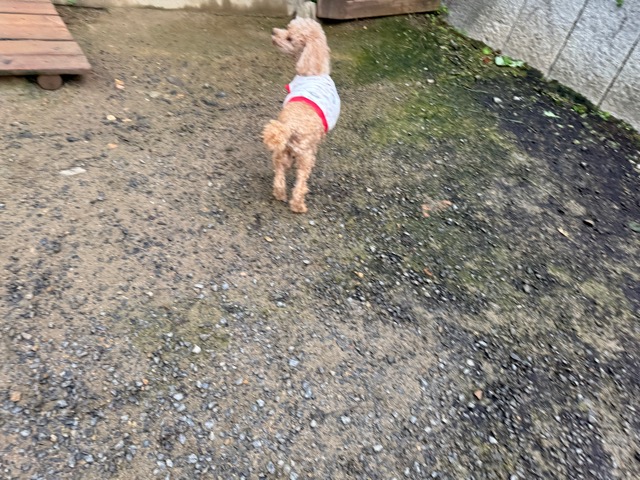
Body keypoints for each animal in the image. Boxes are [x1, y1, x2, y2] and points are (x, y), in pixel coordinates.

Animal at [262, 17, 340, 213]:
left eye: (289, 38)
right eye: (287, 30)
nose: (274, 32)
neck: (313, 71)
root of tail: (291, 126)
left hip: (281, 152)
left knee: (279, 175)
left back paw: (280, 194)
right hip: (305, 157)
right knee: (300, 184)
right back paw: (298, 206)